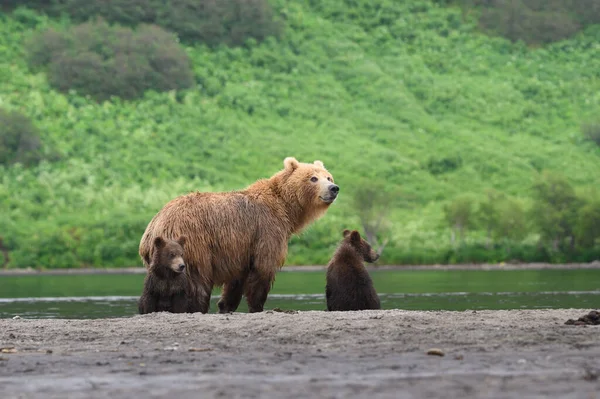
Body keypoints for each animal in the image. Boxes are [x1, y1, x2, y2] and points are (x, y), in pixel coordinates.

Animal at [138, 158, 340, 314]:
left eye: (328, 176)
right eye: (313, 178)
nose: (333, 188)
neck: (286, 209)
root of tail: (155, 226)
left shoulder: (240, 249)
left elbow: (236, 280)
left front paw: (225, 305)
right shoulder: (266, 229)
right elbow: (263, 268)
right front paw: (257, 307)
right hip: (193, 243)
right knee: (197, 283)